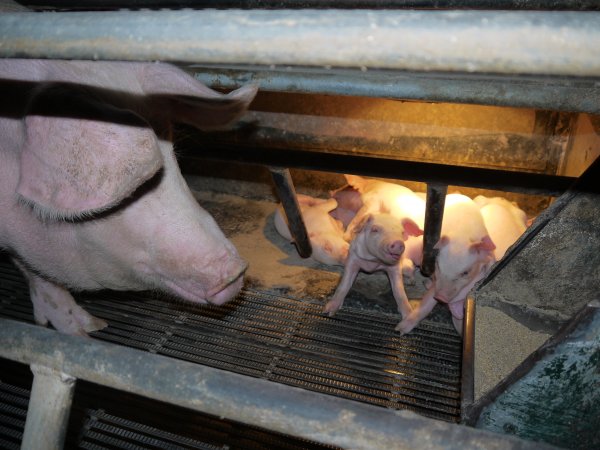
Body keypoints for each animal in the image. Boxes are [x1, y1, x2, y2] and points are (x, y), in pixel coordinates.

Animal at [396, 193, 494, 334]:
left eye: (465, 272)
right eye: (438, 265)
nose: (440, 297)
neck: (462, 236)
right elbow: (426, 303)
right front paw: (400, 330)